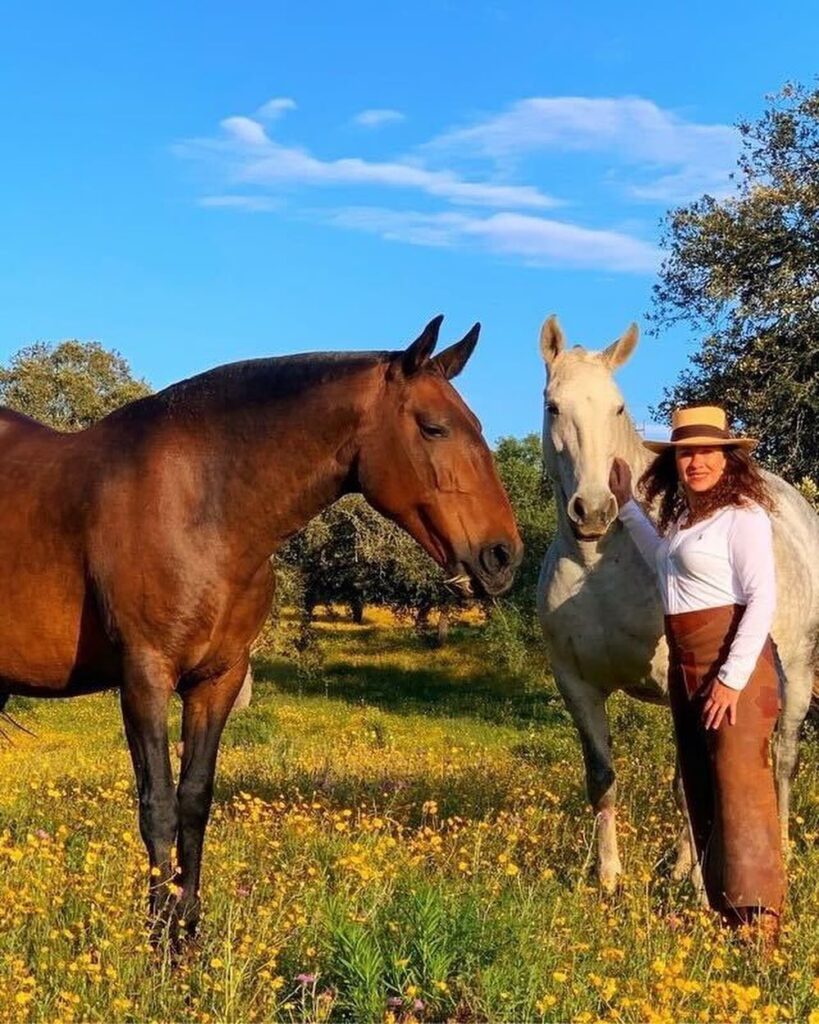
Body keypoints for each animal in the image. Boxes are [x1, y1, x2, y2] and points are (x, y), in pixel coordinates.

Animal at [0, 315, 522, 937]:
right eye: (434, 427)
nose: (502, 556)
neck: (202, 506)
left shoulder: (218, 680)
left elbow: (194, 801)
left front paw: (188, 937)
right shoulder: (145, 676)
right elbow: (158, 807)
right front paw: (158, 942)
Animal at [536, 315, 818, 892]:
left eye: (618, 408)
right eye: (553, 406)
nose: (593, 509)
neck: (599, 565)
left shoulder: (678, 684)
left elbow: (690, 782)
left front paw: (698, 890)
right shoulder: (576, 685)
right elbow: (603, 777)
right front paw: (609, 879)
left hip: (798, 671)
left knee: (782, 758)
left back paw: (774, 851)